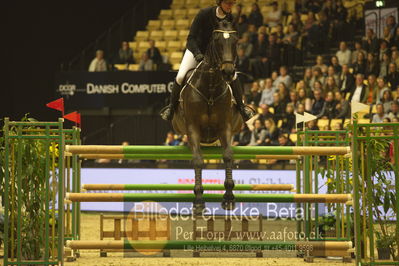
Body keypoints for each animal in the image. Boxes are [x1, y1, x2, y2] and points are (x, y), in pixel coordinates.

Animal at [173, 20, 242, 214]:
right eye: (217, 41)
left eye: (235, 41)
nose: (228, 72)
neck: (210, 86)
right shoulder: (193, 128)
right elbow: (198, 161)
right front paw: (198, 201)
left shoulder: (224, 127)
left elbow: (228, 156)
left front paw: (229, 197)